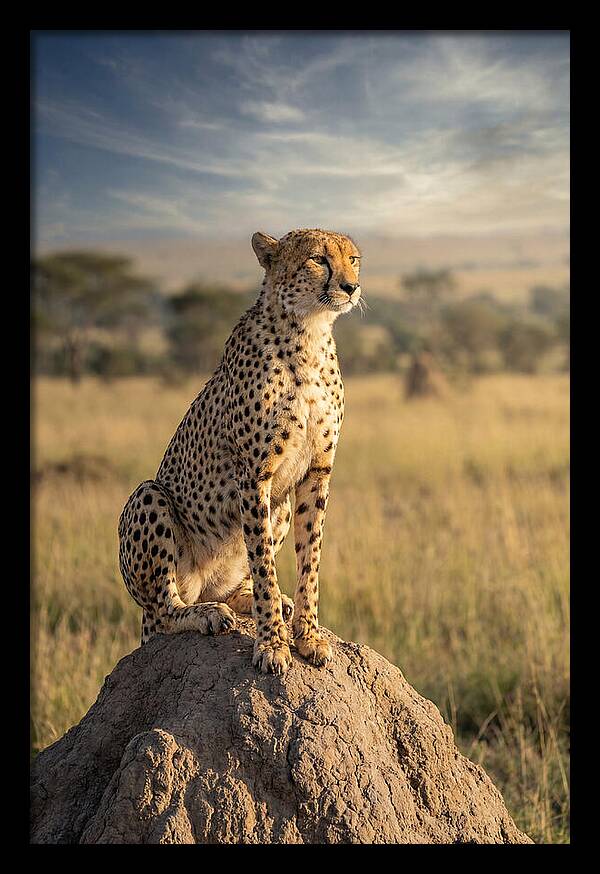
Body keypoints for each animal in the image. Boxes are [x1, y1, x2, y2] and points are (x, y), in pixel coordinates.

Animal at [118, 228, 362, 675]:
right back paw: (206, 614)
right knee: (165, 610)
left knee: (233, 582)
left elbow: (310, 559)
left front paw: (308, 635)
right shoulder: (254, 474)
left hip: (280, 506)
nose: (351, 287)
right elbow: (264, 562)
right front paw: (272, 644)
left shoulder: (317, 471)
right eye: (319, 259)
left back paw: (253, 601)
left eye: (353, 259)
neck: (309, 332)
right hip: (149, 498)